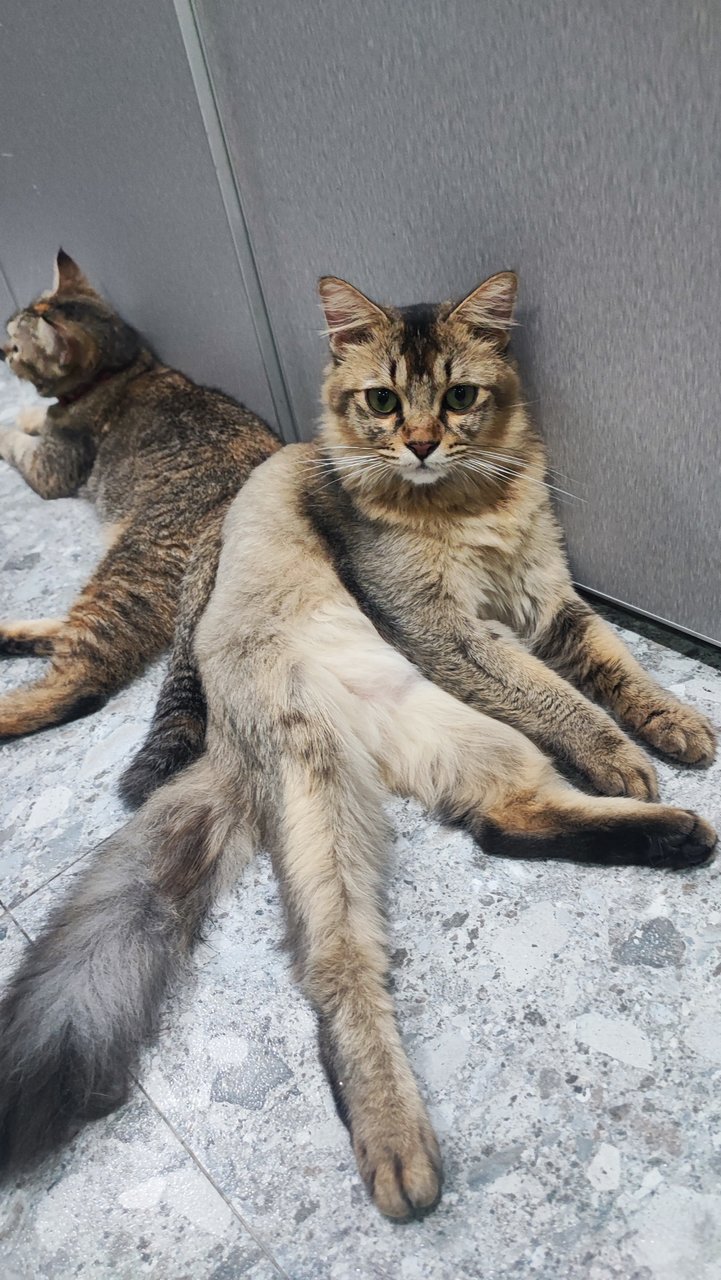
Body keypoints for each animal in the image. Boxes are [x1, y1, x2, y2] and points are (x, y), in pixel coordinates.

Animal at [0, 249, 279, 742]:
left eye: (16, 348)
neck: (120, 368)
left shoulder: (50, 469)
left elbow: (16, 439)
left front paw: (9, 424)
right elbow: (33, 417)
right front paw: (29, 413)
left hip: (125, 576)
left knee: (81, 682)